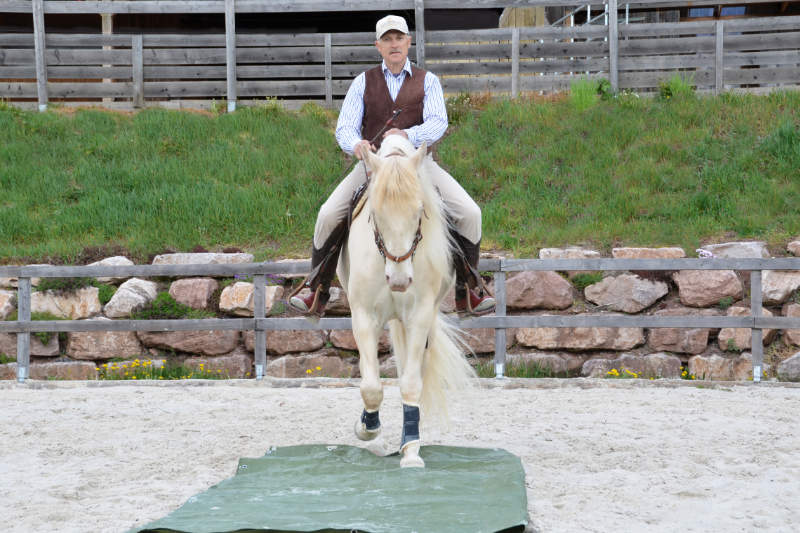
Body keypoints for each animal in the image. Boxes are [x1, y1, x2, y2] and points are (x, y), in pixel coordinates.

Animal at [336, 136, 476, 466]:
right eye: (375, 213)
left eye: (419, 211)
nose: (399, 281)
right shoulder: (363, 317)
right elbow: (371, 386)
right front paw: (367, 428)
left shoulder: (419, 316)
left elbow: (411, 385)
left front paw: (410, 451)